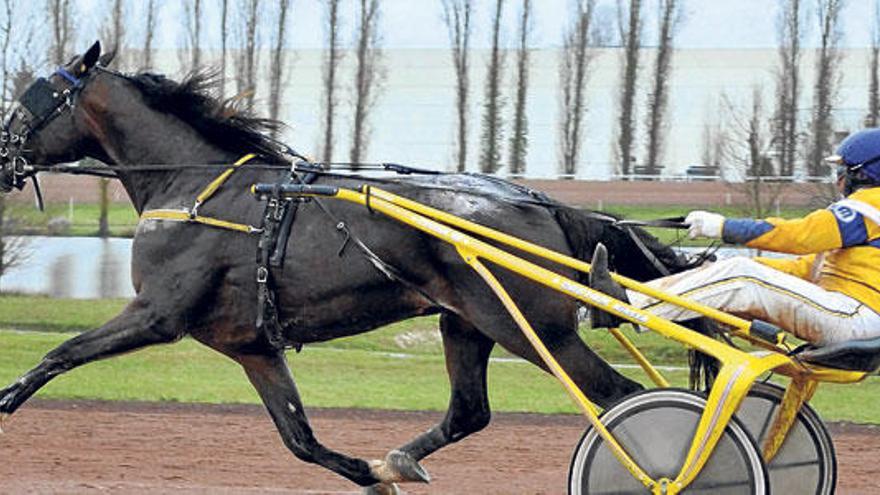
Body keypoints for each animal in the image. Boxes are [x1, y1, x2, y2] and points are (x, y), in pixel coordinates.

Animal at [0, 44, 688, 494]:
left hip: (531, 328)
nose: (4, 156)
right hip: (466, 323)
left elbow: (60, 353)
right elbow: (299, 439)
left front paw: (6, 401)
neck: (194, 188)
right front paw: (372, 475)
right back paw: (398, 459)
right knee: (470, 412)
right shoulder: (252, 346)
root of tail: (537, 199)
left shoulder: (158, 314)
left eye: (29, 101)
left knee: (619, 397)